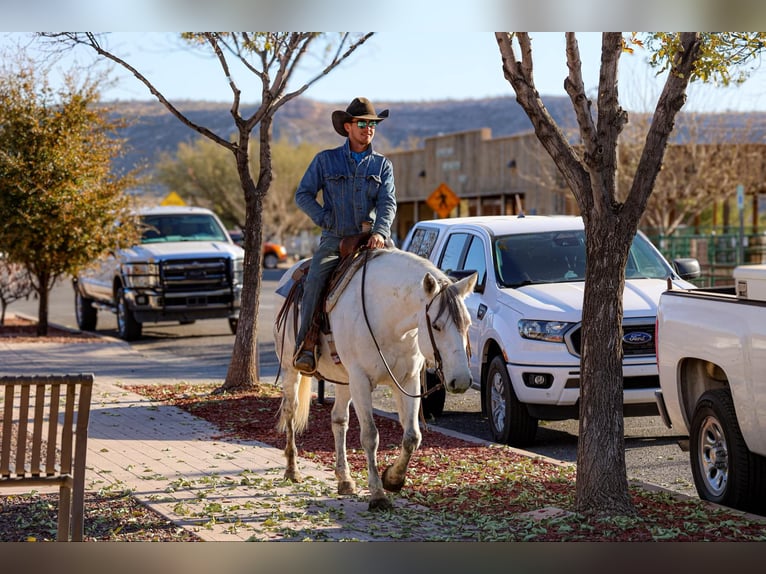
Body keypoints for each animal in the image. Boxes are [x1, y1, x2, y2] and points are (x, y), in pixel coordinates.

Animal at [276, 250, 476, 510]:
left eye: (468, 323)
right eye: (436, 325)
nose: (461, 380)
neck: (388, 319)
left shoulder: (408, 381)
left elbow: (412, 435)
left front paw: (393, 479)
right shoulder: (361, 380)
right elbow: (370, 436)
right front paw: (378, 494)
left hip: (344, 380)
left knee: (339, 419)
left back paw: (345, 479)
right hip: (291, 368)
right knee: (291, 410)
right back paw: (292, 469)